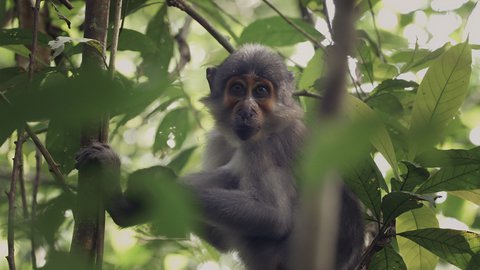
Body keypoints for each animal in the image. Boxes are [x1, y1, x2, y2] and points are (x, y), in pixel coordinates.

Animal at [75, 44, 362, 270]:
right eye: (237, 89)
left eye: (261, 92)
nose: (247, 110)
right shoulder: (220, 141)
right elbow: (224, 240)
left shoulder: (266, 147)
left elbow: (275, 217)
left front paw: (152, 184)